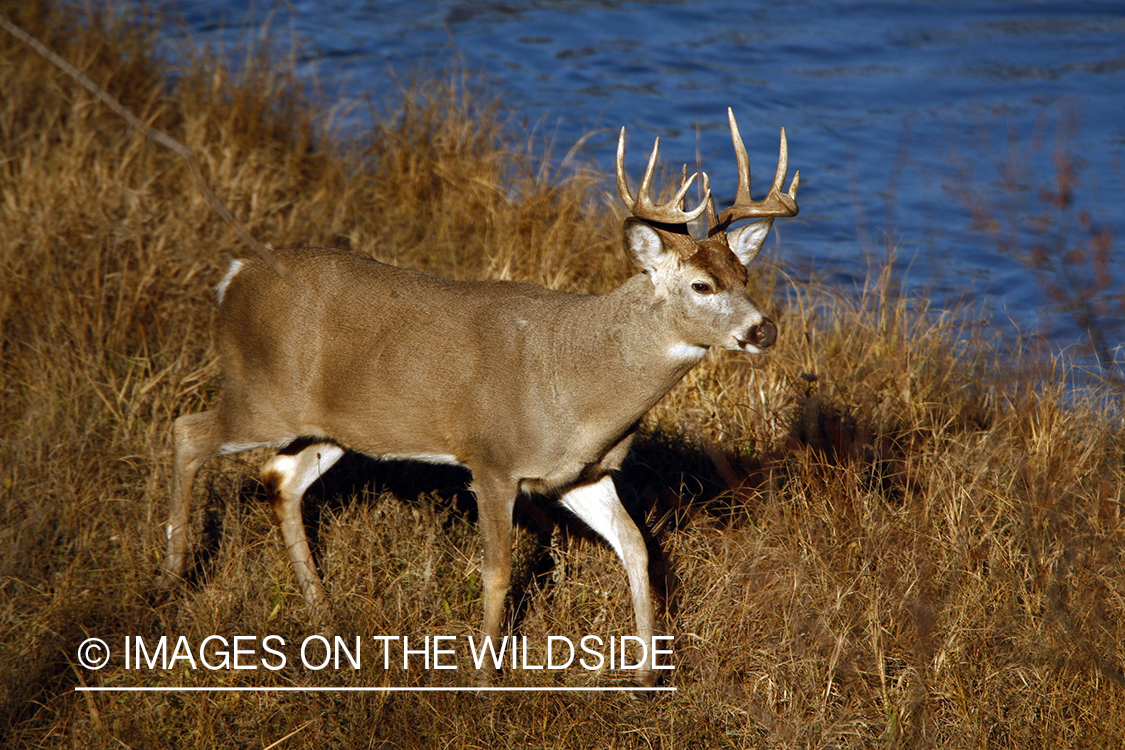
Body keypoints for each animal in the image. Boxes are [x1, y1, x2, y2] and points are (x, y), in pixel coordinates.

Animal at [156, 108, 801, 688]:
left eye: (746, 278)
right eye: (702, 285)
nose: (764, 329)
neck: (576, 382)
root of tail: (235, 275)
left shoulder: (580, 474)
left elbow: (637, 548)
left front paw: (646, 674)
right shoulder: (492, 461)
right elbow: (498, 571)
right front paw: (485, 676)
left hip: (334, 427)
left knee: (280, 479)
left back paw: (322, 611)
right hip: (262, 394)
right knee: (187, 432)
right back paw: (174, 578)